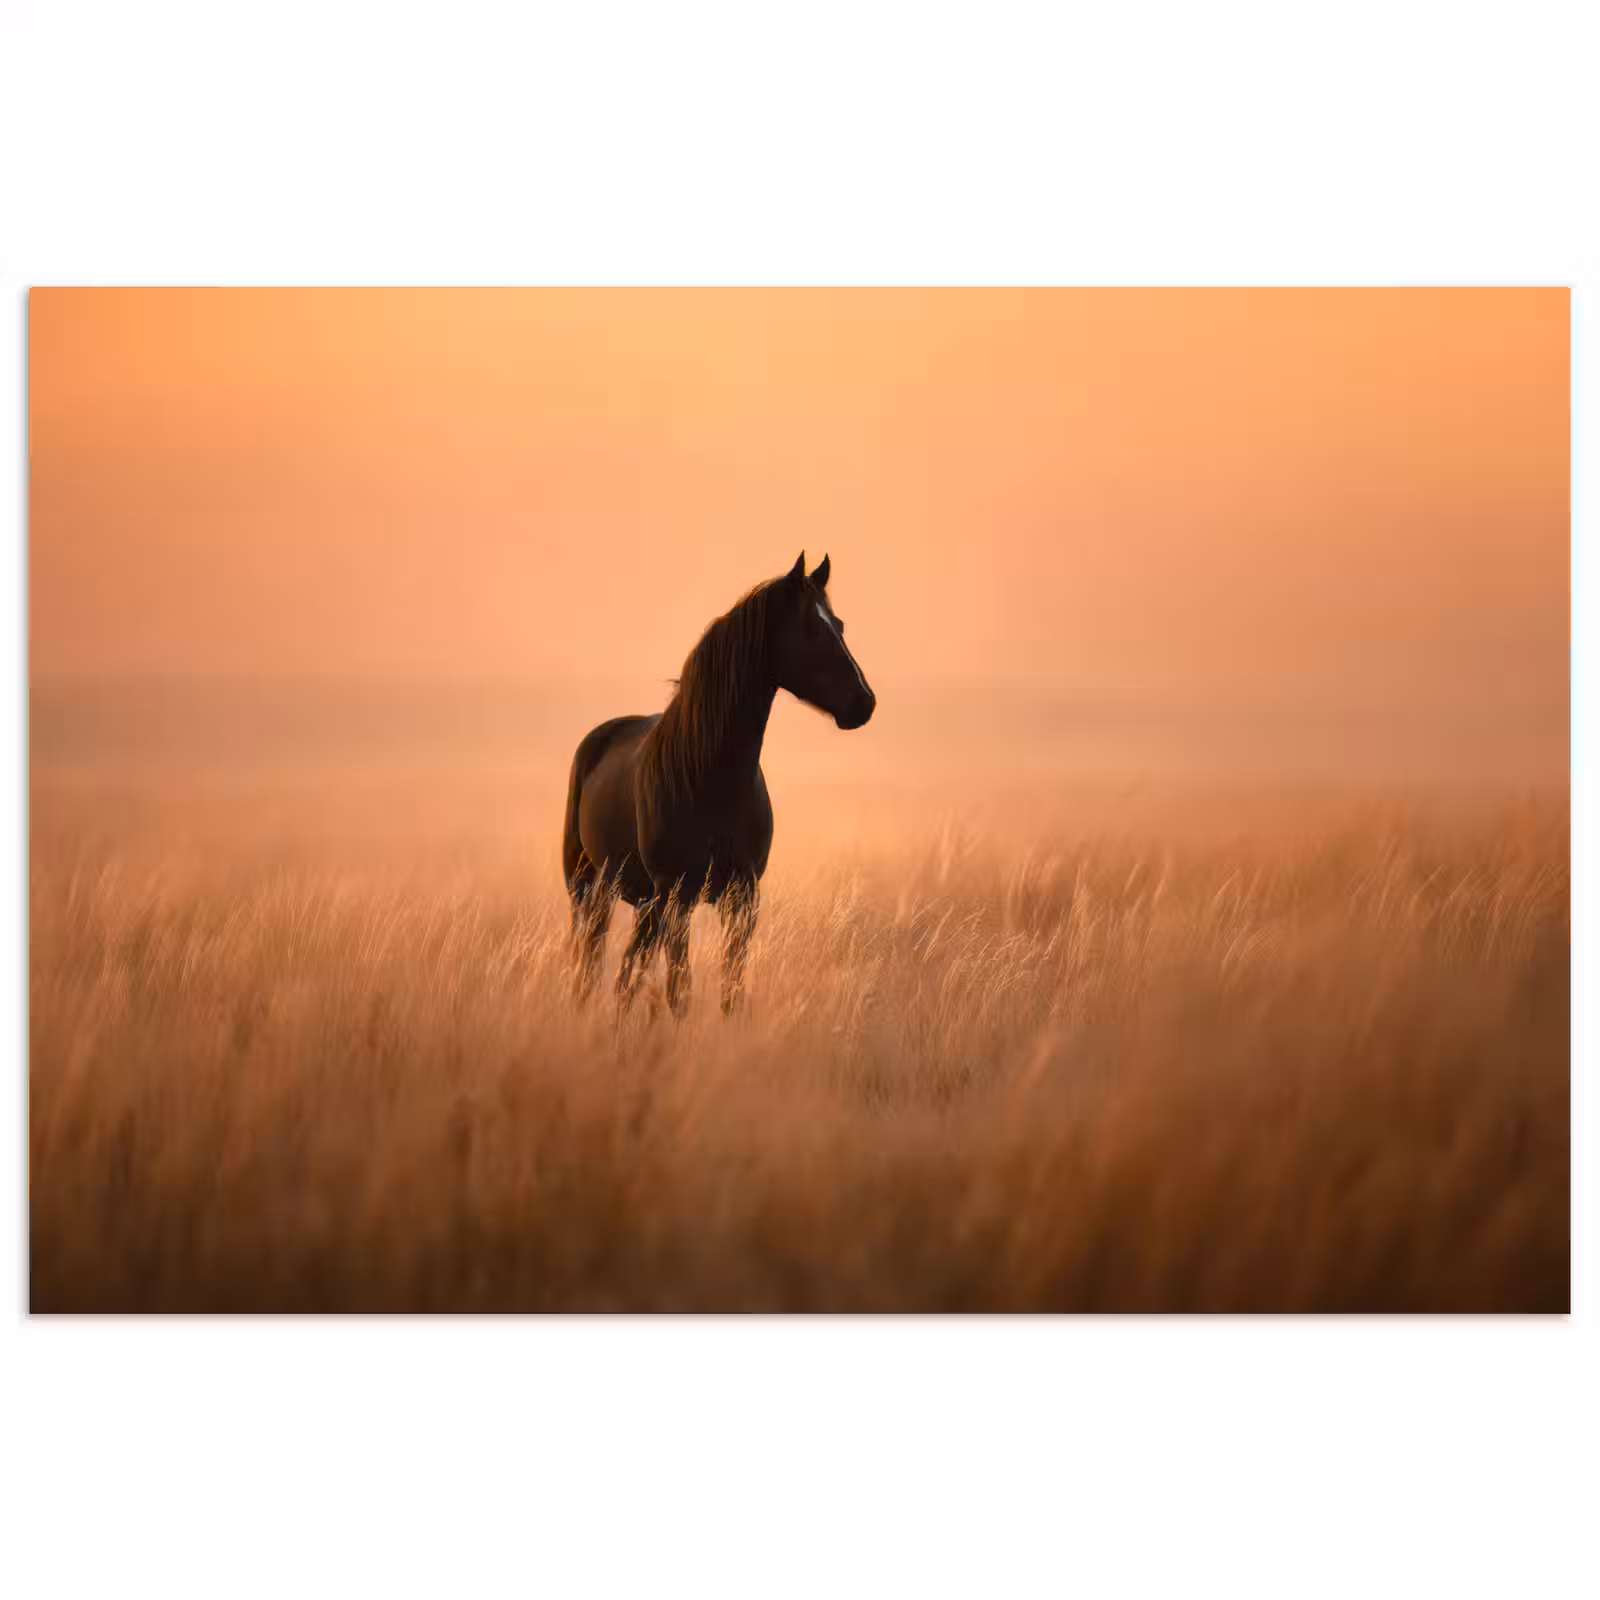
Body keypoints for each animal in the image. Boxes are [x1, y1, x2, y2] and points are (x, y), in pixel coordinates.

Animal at [561, 551, 875, 1016]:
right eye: (813, 629)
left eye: (839, 625)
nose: (864, 703)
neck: (711, 778)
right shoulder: (678, 897)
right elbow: (679, 991)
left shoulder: (741, 897)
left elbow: (731, 990)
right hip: (592, 889)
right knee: (595, 966)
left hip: (642, 902)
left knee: (626, 973)